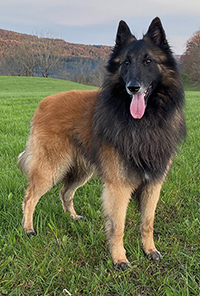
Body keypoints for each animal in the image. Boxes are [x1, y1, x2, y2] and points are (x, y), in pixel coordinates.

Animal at [18, 17, 187, 270]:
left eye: (148, 61)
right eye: (126, 62)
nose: (133, 87)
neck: (144, 122)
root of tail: (43, 103)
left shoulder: (153, 184)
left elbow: (147, 222)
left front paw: (149, 251)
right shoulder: (118, 186)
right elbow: (118, 227)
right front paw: (119, 259)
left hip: (81, 171)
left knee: (65, 192)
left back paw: (73, 217)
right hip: (51, 168)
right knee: (30, 197)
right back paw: (28, 229)